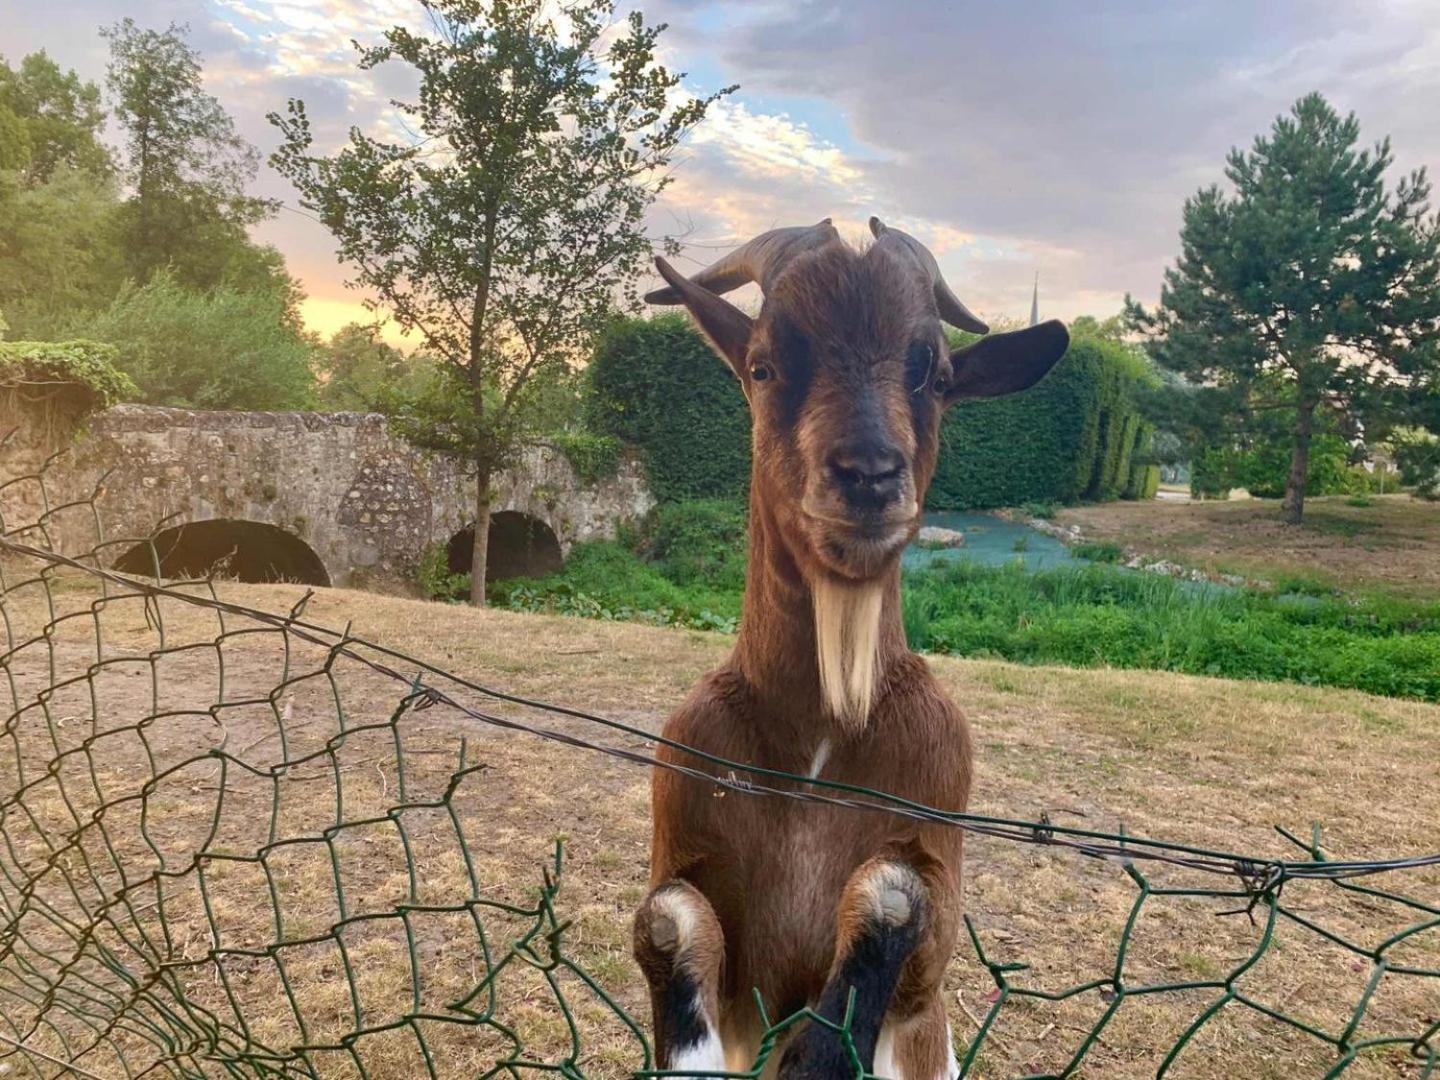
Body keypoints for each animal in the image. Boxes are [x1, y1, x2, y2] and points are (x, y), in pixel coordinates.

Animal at [633, 216, 1071, 1077]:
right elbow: (666, 917)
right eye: (764, 364)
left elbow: (895, 893)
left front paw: (824, 1054)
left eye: (934, 374)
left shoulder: (937, 821)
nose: (869, 473)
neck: (821, 739)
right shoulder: (685, 805)